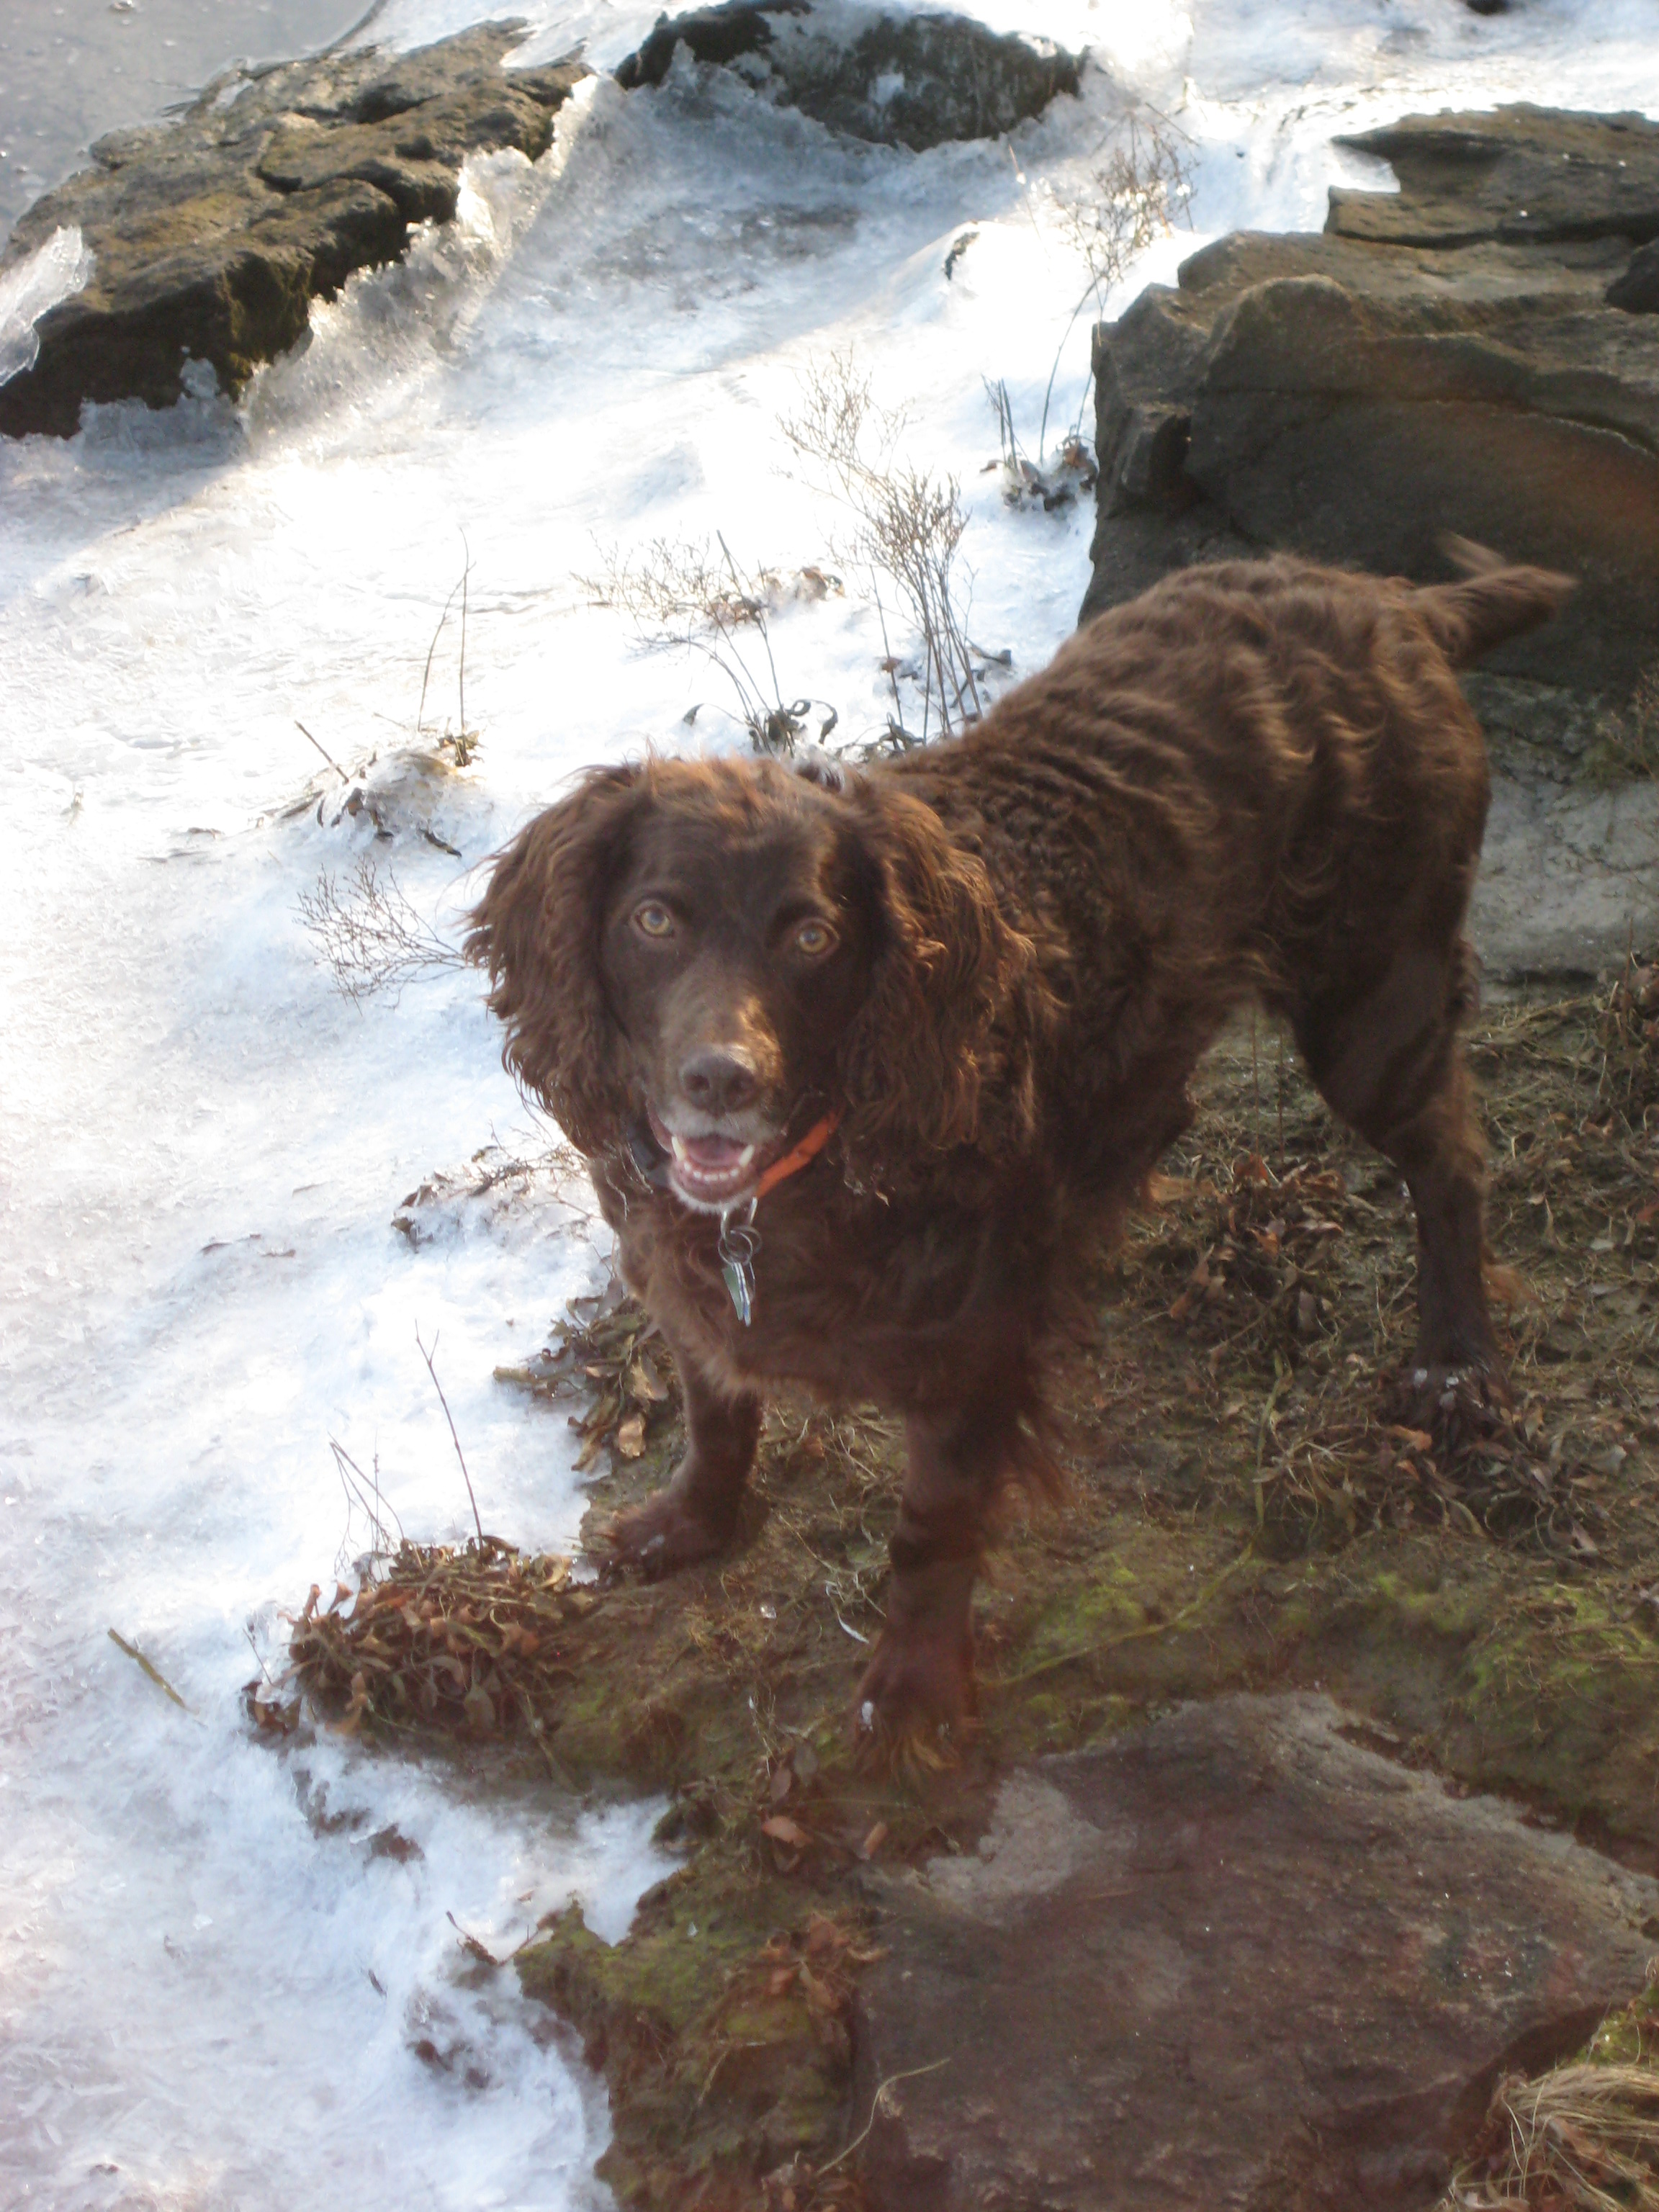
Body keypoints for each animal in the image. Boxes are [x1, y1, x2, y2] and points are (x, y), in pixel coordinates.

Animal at [464, 544, 1575, 1734]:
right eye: (654, 920)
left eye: (812, 937)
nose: (722, 1079)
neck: (809, 1172)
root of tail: (1396, 601)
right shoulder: (686, 1285)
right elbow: (717, 1419)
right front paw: (691, 1526)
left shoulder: (975, 1346)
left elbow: (930, 1529)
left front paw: (910, 1696)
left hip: (1375, 1006)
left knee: (1449, 1164)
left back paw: (1456, 1368)